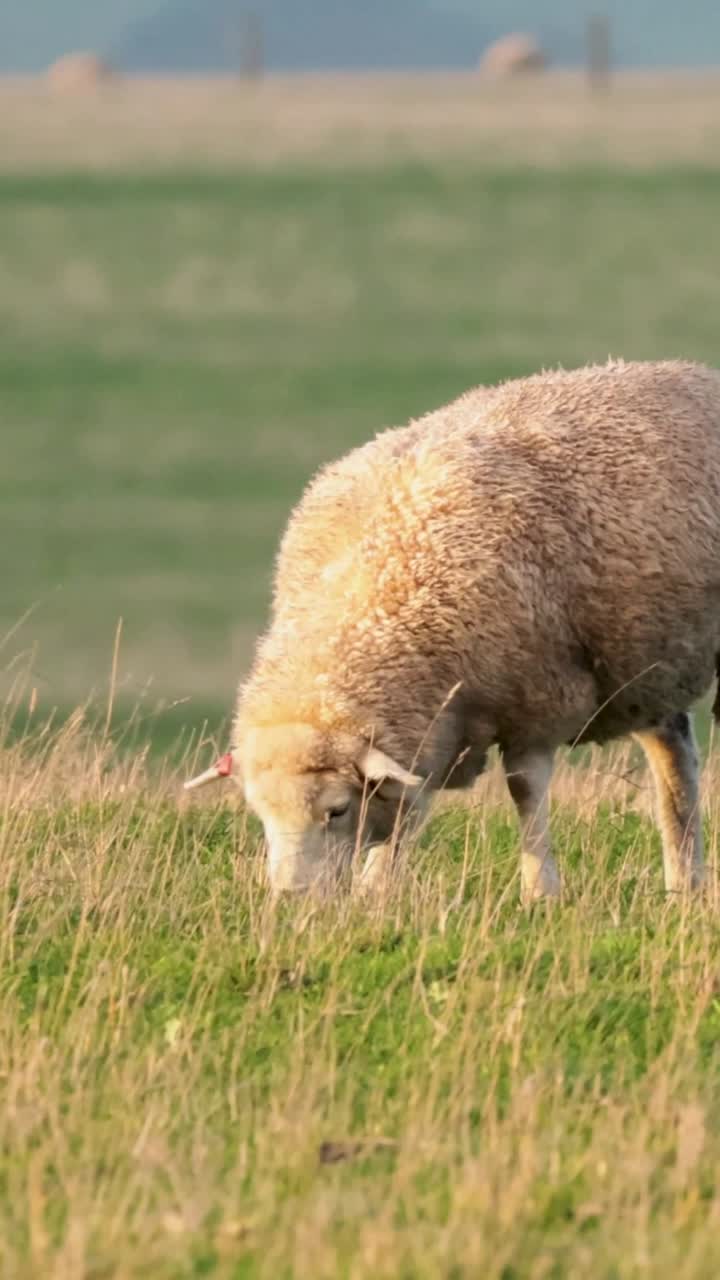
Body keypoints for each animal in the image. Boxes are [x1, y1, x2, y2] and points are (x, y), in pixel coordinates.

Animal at [186, 358, 720, 901]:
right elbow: (406, 806)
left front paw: (540, 890)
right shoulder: (433, 724)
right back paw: (684, 883)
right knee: (673, 754)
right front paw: (377, 887)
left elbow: (524, 790)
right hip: (651, 659)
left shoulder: (535, 699)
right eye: (261, 812)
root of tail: (693, 370)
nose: (291, 897)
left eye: (336, 810)